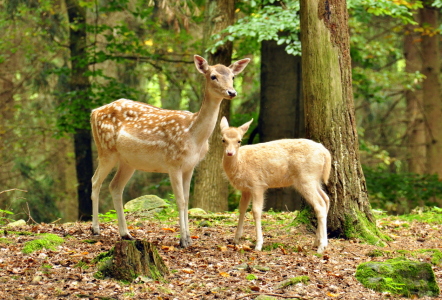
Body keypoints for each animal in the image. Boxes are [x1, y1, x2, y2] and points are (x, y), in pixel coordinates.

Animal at [90, 55, 249, 247]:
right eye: (213, 76)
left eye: (232, 76)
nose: (232, 92)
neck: (193, 136)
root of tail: (93, 112)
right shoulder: (173, 162)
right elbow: (179, 201)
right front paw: (183, 241)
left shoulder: (190, 166)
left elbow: (187, 200)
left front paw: (189, 238)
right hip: (106, 150)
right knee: (95, 181)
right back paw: (95, 229)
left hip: (128, 161)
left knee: (115, 186)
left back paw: (126, 234)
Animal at [221, 117, 332, 253]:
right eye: (223, 139)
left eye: (239, 140)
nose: (229, 153)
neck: (240, 163)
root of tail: (326, 153)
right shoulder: (245, 189)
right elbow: (242, 209)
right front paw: (236, 239)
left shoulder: (257, 184)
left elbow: (256, 211)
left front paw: (258, 245)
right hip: (314, 179)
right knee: (326, 199)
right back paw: (319, 242)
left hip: (306, 178)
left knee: (320, 204)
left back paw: (321, 246)